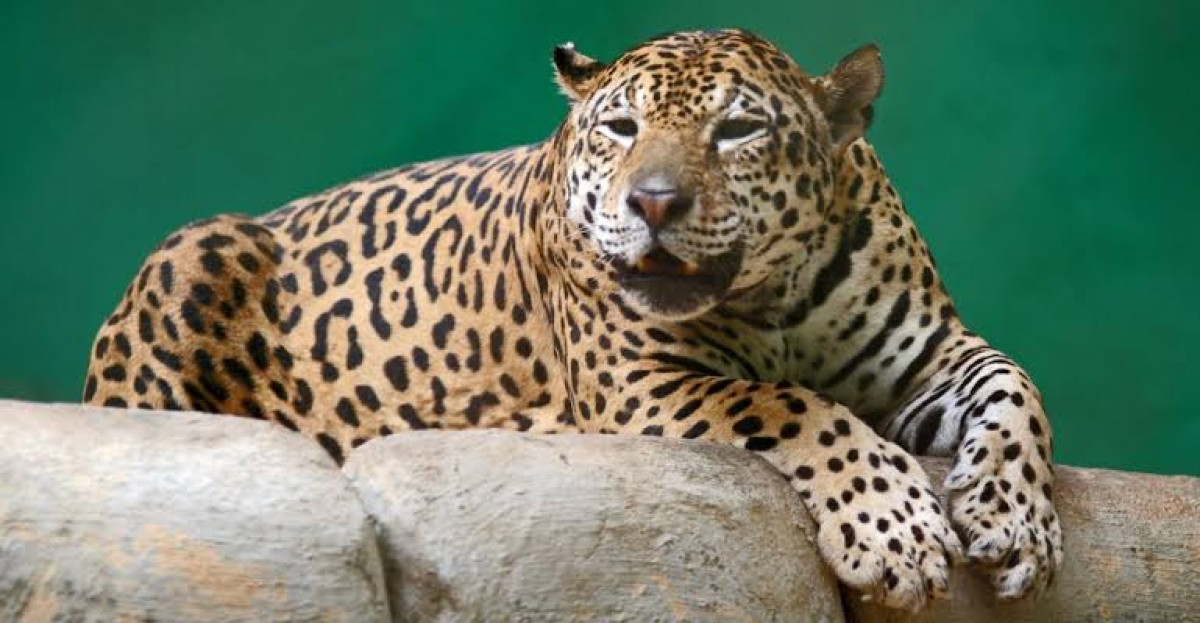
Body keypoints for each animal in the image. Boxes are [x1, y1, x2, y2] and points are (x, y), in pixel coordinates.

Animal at [84, 29, 1062, 611]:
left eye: (738, 131)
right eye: (621, 128)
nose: (654, 202)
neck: (772, 296)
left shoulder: (929, 352)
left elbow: (1016, 387)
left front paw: (1016, 517)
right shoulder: (644, 384)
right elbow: (793, 405)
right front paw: (897, 530)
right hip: (193, 250)